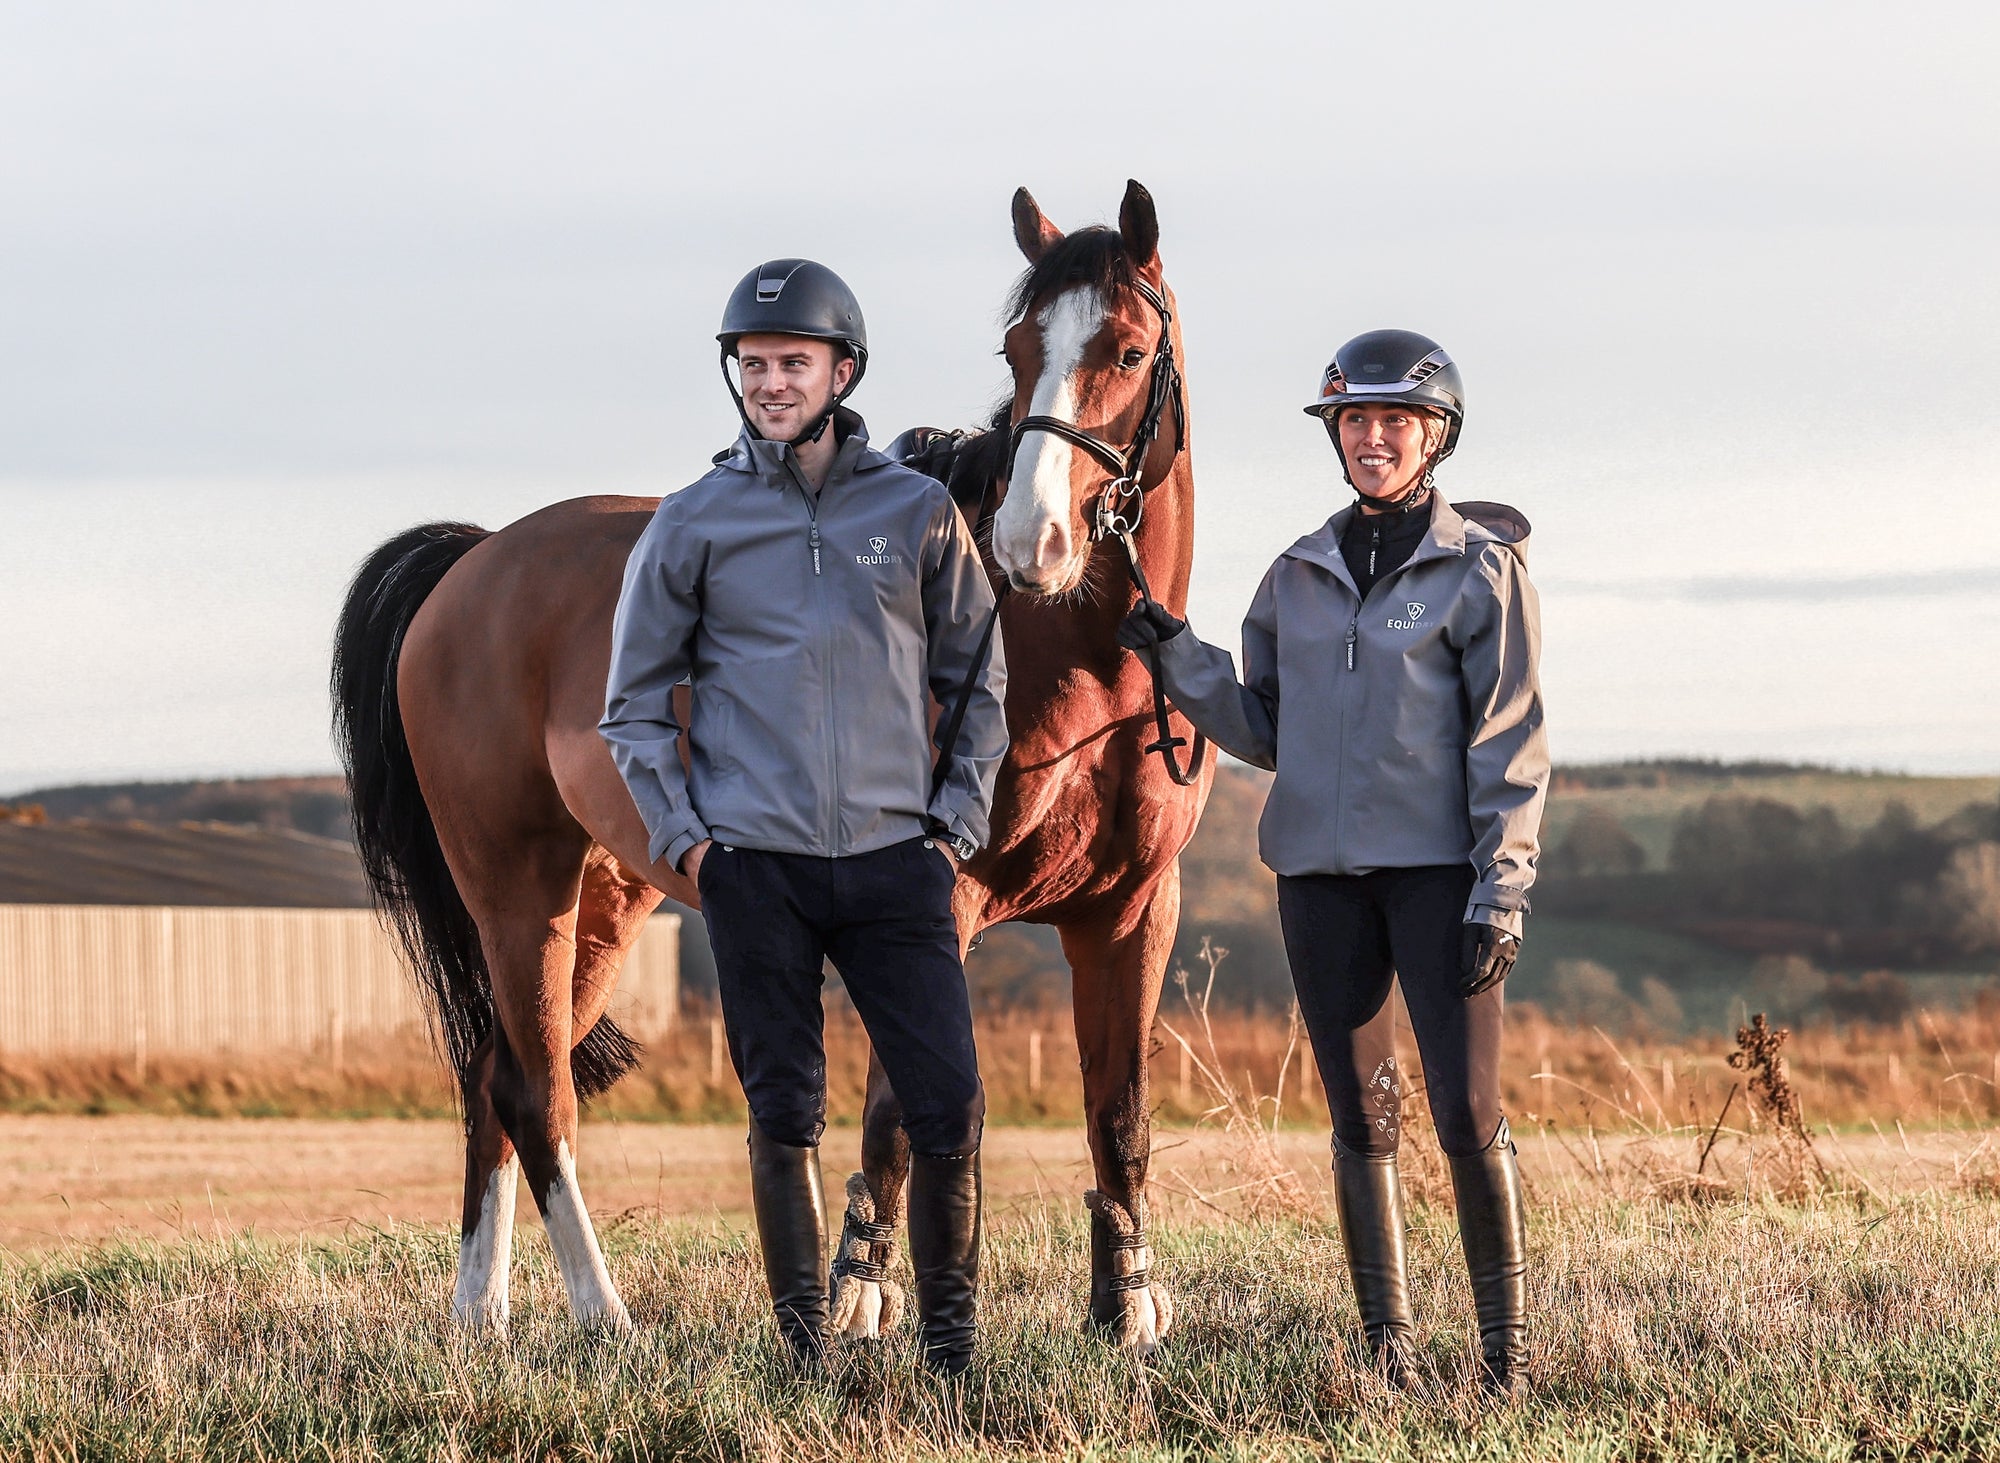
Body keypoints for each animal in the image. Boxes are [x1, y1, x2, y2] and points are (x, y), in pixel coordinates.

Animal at [330, 178, 1211, 1350]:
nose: (1035, 543)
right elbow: (895, 1108)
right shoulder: (941, 898)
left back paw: (484, 1314)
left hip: (599, 900)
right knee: (535, 1094)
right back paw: (605, 1317)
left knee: (496, 1073)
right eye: (1018, 347)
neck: (1077, 660)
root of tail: (470, 564)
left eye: (1125, 349)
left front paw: (1127, 1307)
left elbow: (1118, 1114)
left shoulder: (1132, 910)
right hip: (516, 889)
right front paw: (861, 1292)